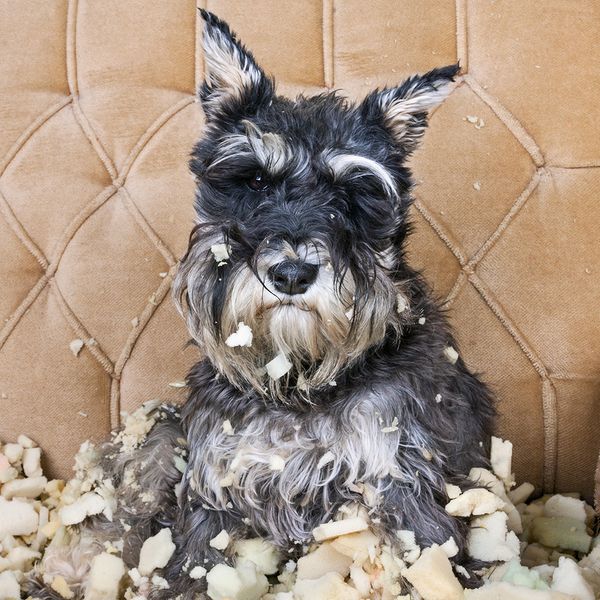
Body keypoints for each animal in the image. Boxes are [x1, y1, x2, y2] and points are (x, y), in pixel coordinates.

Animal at [30, 9, 494, 600]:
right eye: (253, 180)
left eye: (352, 195)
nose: (291, 273)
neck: (298, 382)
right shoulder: (215, 489)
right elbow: (190, 567)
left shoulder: (399, 480)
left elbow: (434, 555)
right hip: (162, 432)